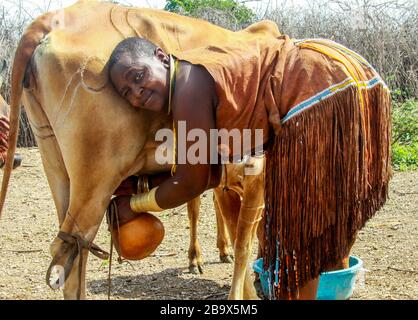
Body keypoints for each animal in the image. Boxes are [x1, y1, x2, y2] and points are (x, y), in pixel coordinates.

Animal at [0, 0, 282, 300]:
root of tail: (52, 19)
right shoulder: (254, 177)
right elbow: (244, 245)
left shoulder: (229, 182)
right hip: (96, 179)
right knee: (71, 251)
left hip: (55, 162)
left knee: (69, 249)